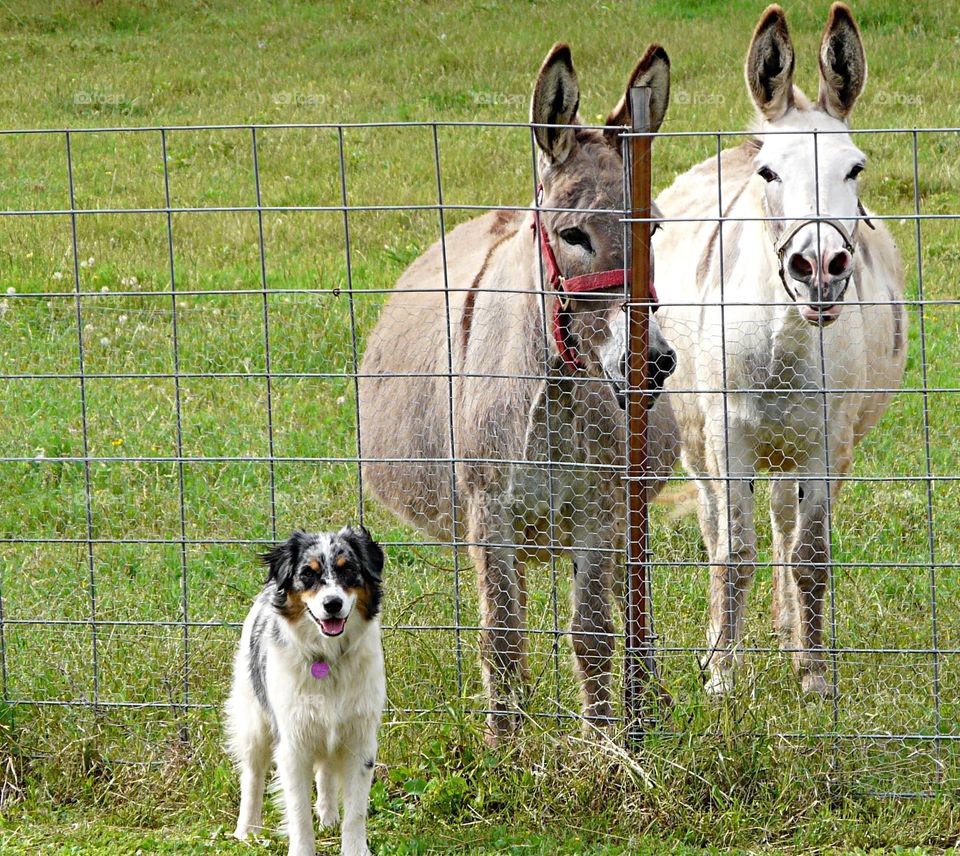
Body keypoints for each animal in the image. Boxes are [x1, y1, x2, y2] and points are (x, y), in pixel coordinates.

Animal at [225, 528, 386, 856]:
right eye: (307, 574)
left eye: (348, 569)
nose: (332, 604)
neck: (329, 659)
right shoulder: (293, 745)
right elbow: (298, 814)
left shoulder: (360, 741)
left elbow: (356, 813)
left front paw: (353, 847)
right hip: (254, 722)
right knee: (252, 774)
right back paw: (247, 830)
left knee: (325, 773)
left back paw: (328, 817)